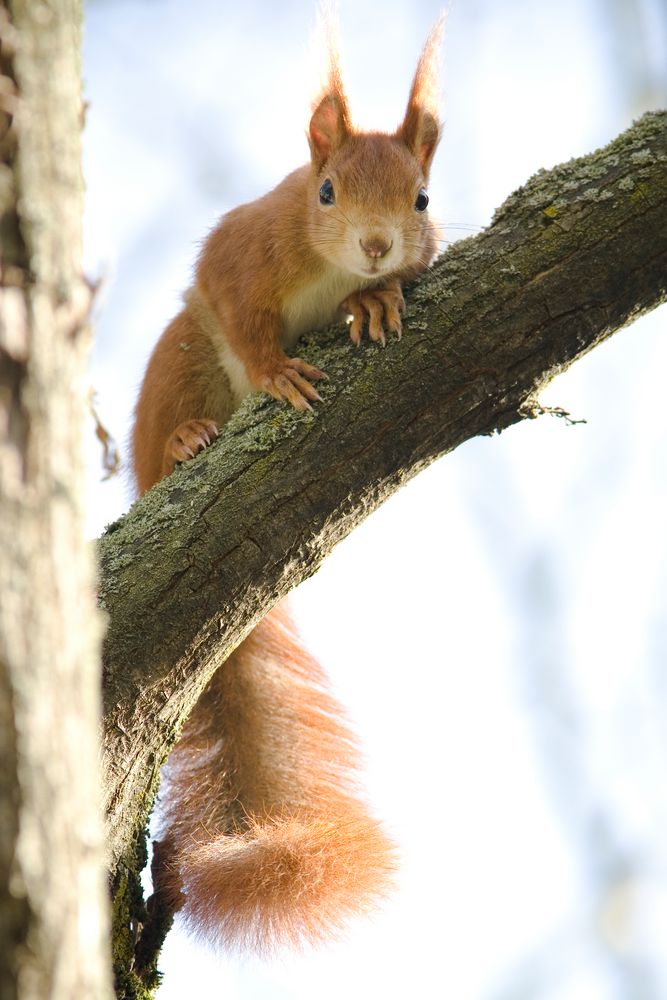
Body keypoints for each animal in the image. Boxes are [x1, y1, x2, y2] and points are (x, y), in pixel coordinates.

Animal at [132, 17, 444, 952]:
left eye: (420, 199)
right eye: (327, 190)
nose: (377, 245)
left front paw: (375, 301)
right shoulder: (244, 252)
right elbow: (244, 315)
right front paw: (278, 371)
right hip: (181, 360)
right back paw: (187, 441)